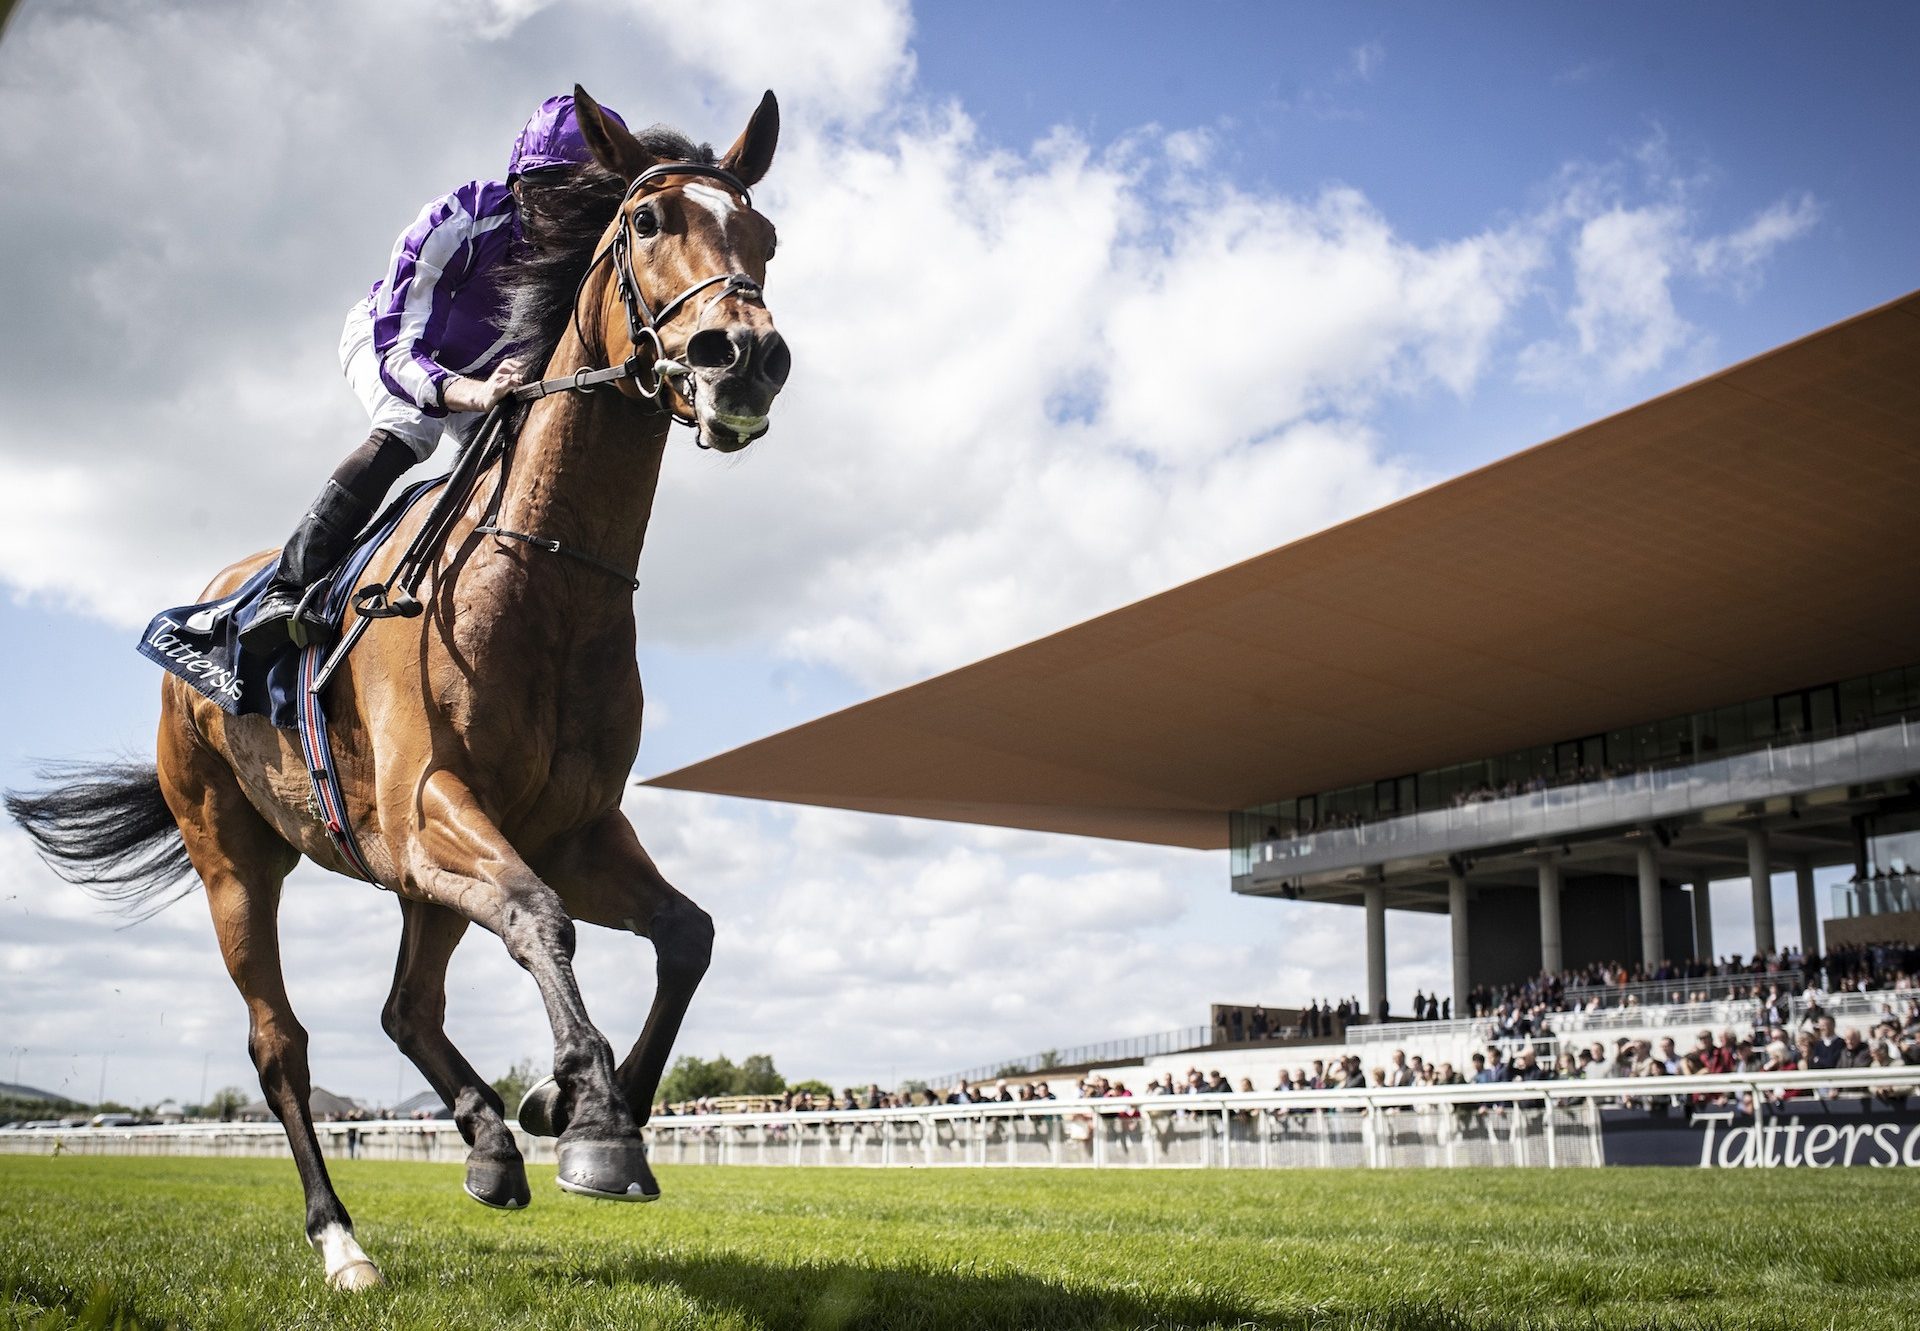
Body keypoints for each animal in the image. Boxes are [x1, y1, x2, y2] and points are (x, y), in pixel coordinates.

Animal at [7, 85, 787, 1290]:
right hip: (237, 856)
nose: (741, 356)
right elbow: (540, 913)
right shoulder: (431, 806)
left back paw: (490, 1142)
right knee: (281, 1041)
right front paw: (592, 1116)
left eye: (767, 237)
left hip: (406, 877)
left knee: (407, 1004)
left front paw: (582, 1101)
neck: (545, 573)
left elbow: (685, 932)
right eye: (649, 221)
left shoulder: (568, 824)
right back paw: (342, 1239)